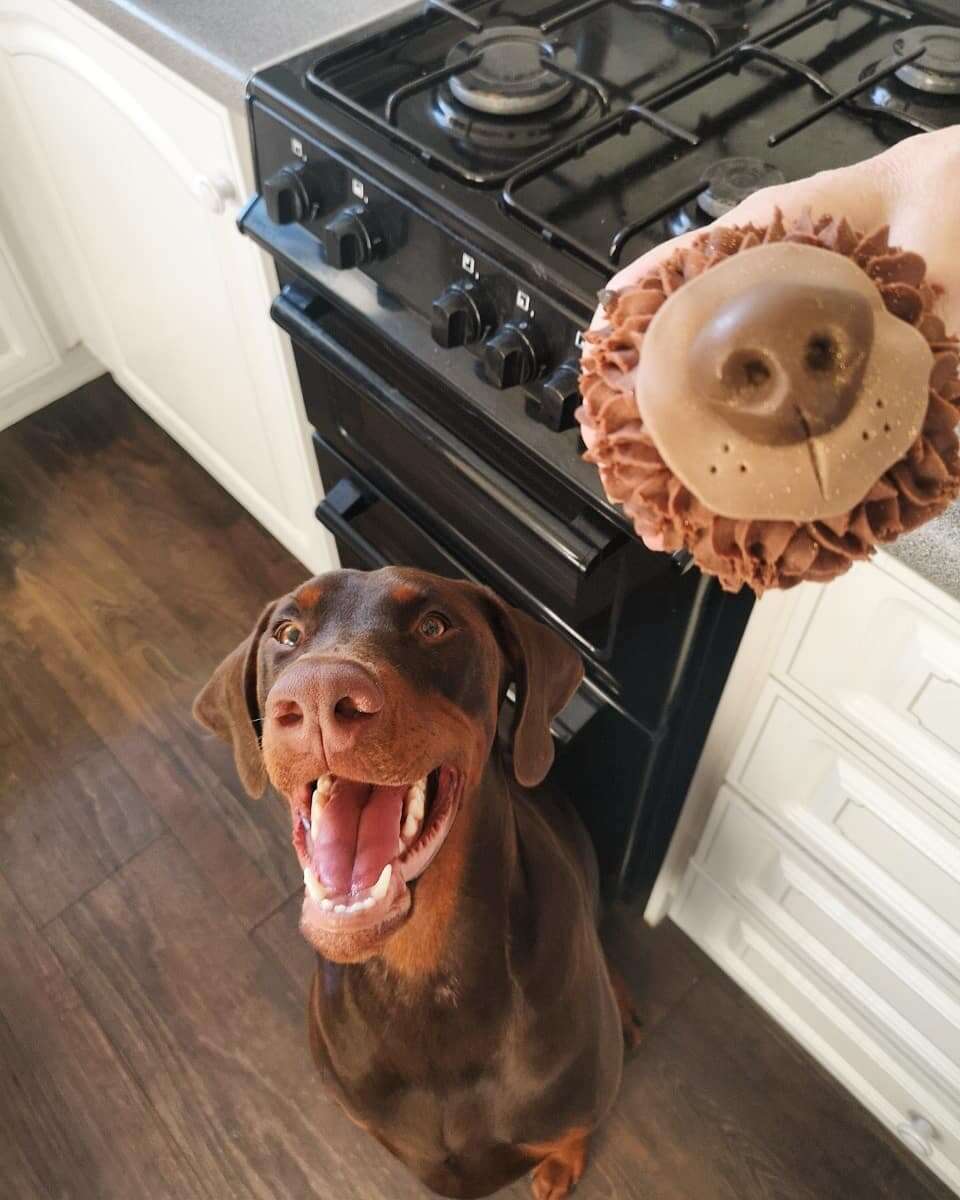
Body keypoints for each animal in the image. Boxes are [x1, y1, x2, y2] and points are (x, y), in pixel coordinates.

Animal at [193, 566, 638, 1195]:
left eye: (434, 625)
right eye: (287, 632)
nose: (317, 695)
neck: (424, 974)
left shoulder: (574, 1102)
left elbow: (572, 1133)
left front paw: (559, 1166)